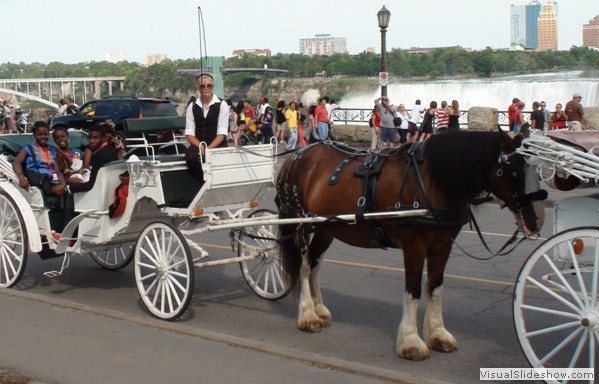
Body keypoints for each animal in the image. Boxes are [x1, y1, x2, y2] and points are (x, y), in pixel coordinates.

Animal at [276, 129, 548, 360]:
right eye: (514, 171)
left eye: (538, 171)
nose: (538, 219)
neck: (432, 181)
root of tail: (296, 156)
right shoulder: (414, 247)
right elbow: (414, 291)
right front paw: (410, 341)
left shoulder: (443, 247)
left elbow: (435, 288)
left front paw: (438, 334)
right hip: (300, 223)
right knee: (303, 266)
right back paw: (307, 314)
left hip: (327, 228)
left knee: (314, 263)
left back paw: (319, 309)